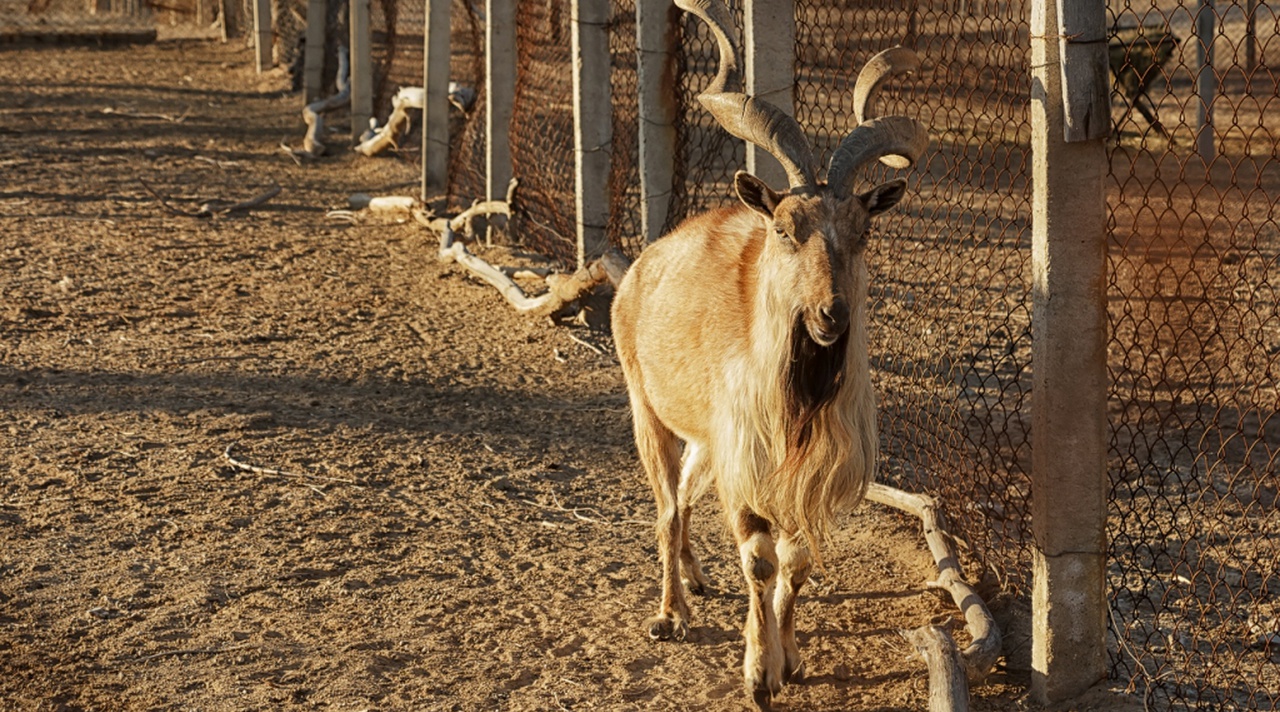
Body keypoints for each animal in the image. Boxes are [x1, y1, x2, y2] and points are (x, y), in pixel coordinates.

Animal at [611, 0, 931, 701]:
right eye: (785, 229)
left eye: (862, 232)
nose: (830, 315)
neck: (798, 395)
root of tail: (640, 268)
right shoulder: (750, 463)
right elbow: (760, 561)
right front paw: (760, 674)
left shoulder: (798, 471)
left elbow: (797, 561)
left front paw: (792, 658)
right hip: (648, 412)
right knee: (667, 509)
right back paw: (671, 613)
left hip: (705, 440)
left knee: (684, 498)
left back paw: (696, 579)